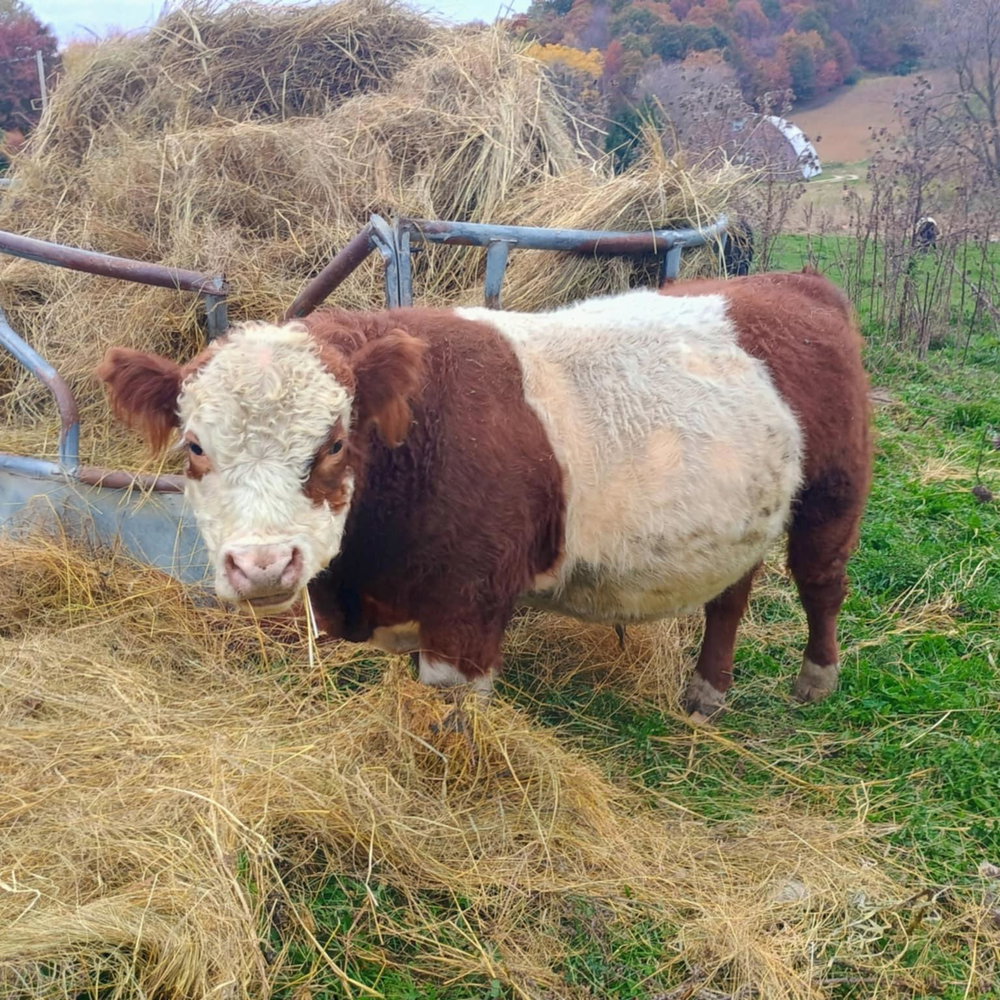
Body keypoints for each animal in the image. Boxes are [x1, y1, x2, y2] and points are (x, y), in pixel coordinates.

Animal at [98, 270, 871, 719]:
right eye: (195, 447)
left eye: (335, 443)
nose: (263, 566)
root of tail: (794, 281)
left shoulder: (466, 611)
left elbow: (453, 720)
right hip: (740, 517)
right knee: (729, 597)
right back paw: (707, 691)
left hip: (833, 493)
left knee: (822, 582)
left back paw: (818, 678)